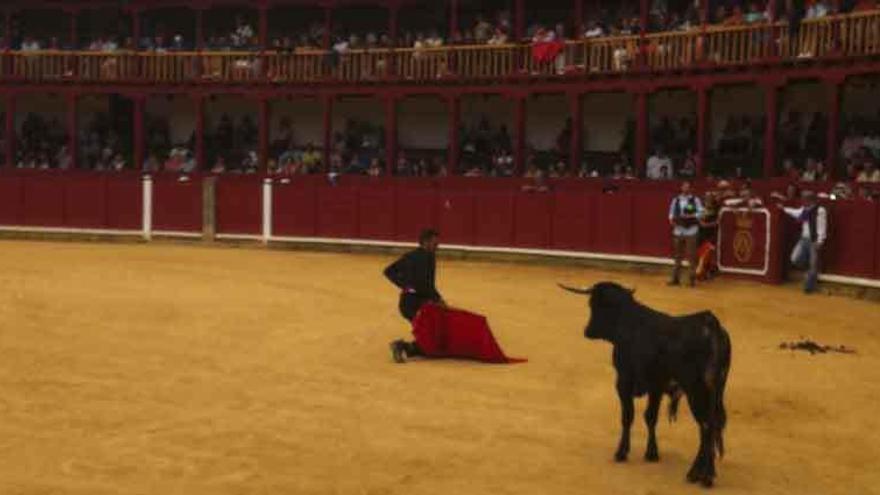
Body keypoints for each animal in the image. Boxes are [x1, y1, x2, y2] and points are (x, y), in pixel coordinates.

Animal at [560, 282, 732, 488]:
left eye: (595, 305)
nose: (588, 331)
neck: (630, 325)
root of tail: (711, 324)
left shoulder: (623, 382)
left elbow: (628, 417)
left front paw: (622, 452)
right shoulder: (655, 387)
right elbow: (650, 417)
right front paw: (651, 453)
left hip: (696, 391)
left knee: (707, 427)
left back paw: (703, 475)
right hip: (715, 393)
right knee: (710, 427)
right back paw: (699, 474)